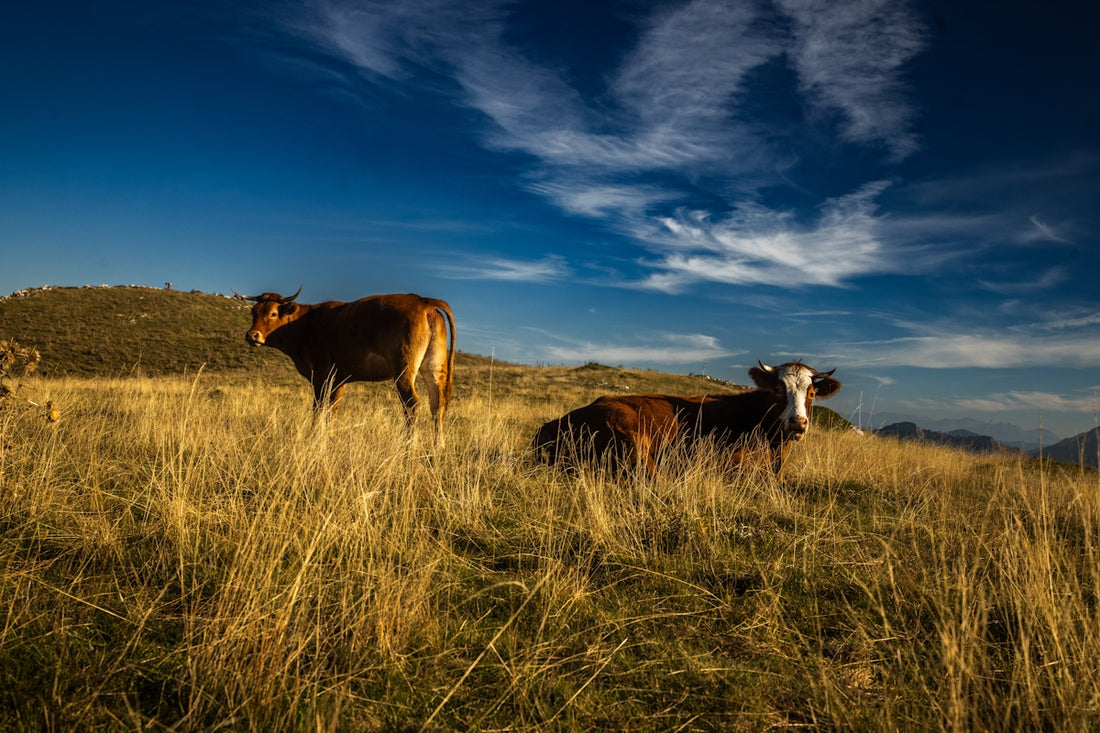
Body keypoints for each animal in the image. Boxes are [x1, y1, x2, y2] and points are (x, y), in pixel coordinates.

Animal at [234, 287, 456, 443]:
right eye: (253, 312)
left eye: (272, 313)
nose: (252, 335)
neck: (307, 323)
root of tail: (422, 301)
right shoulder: (339, 379)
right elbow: (332, 410)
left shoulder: (321, 374)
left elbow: (319, 407)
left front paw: (314, 438)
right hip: (434, 369)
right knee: (437, 405)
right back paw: (437, 449)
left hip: (403, 370)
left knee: (412, 404)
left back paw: (410, 448)